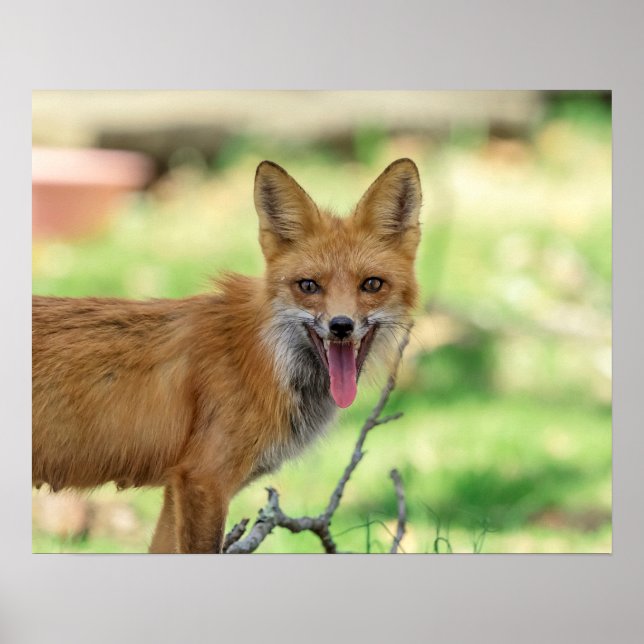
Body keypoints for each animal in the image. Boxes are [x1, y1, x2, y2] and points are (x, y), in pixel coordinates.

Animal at [32, 158, 422, 553]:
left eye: (371, 284)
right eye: (309, 286)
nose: (341, 326)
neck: (265, 358)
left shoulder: (177, 486)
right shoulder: (204, 479)